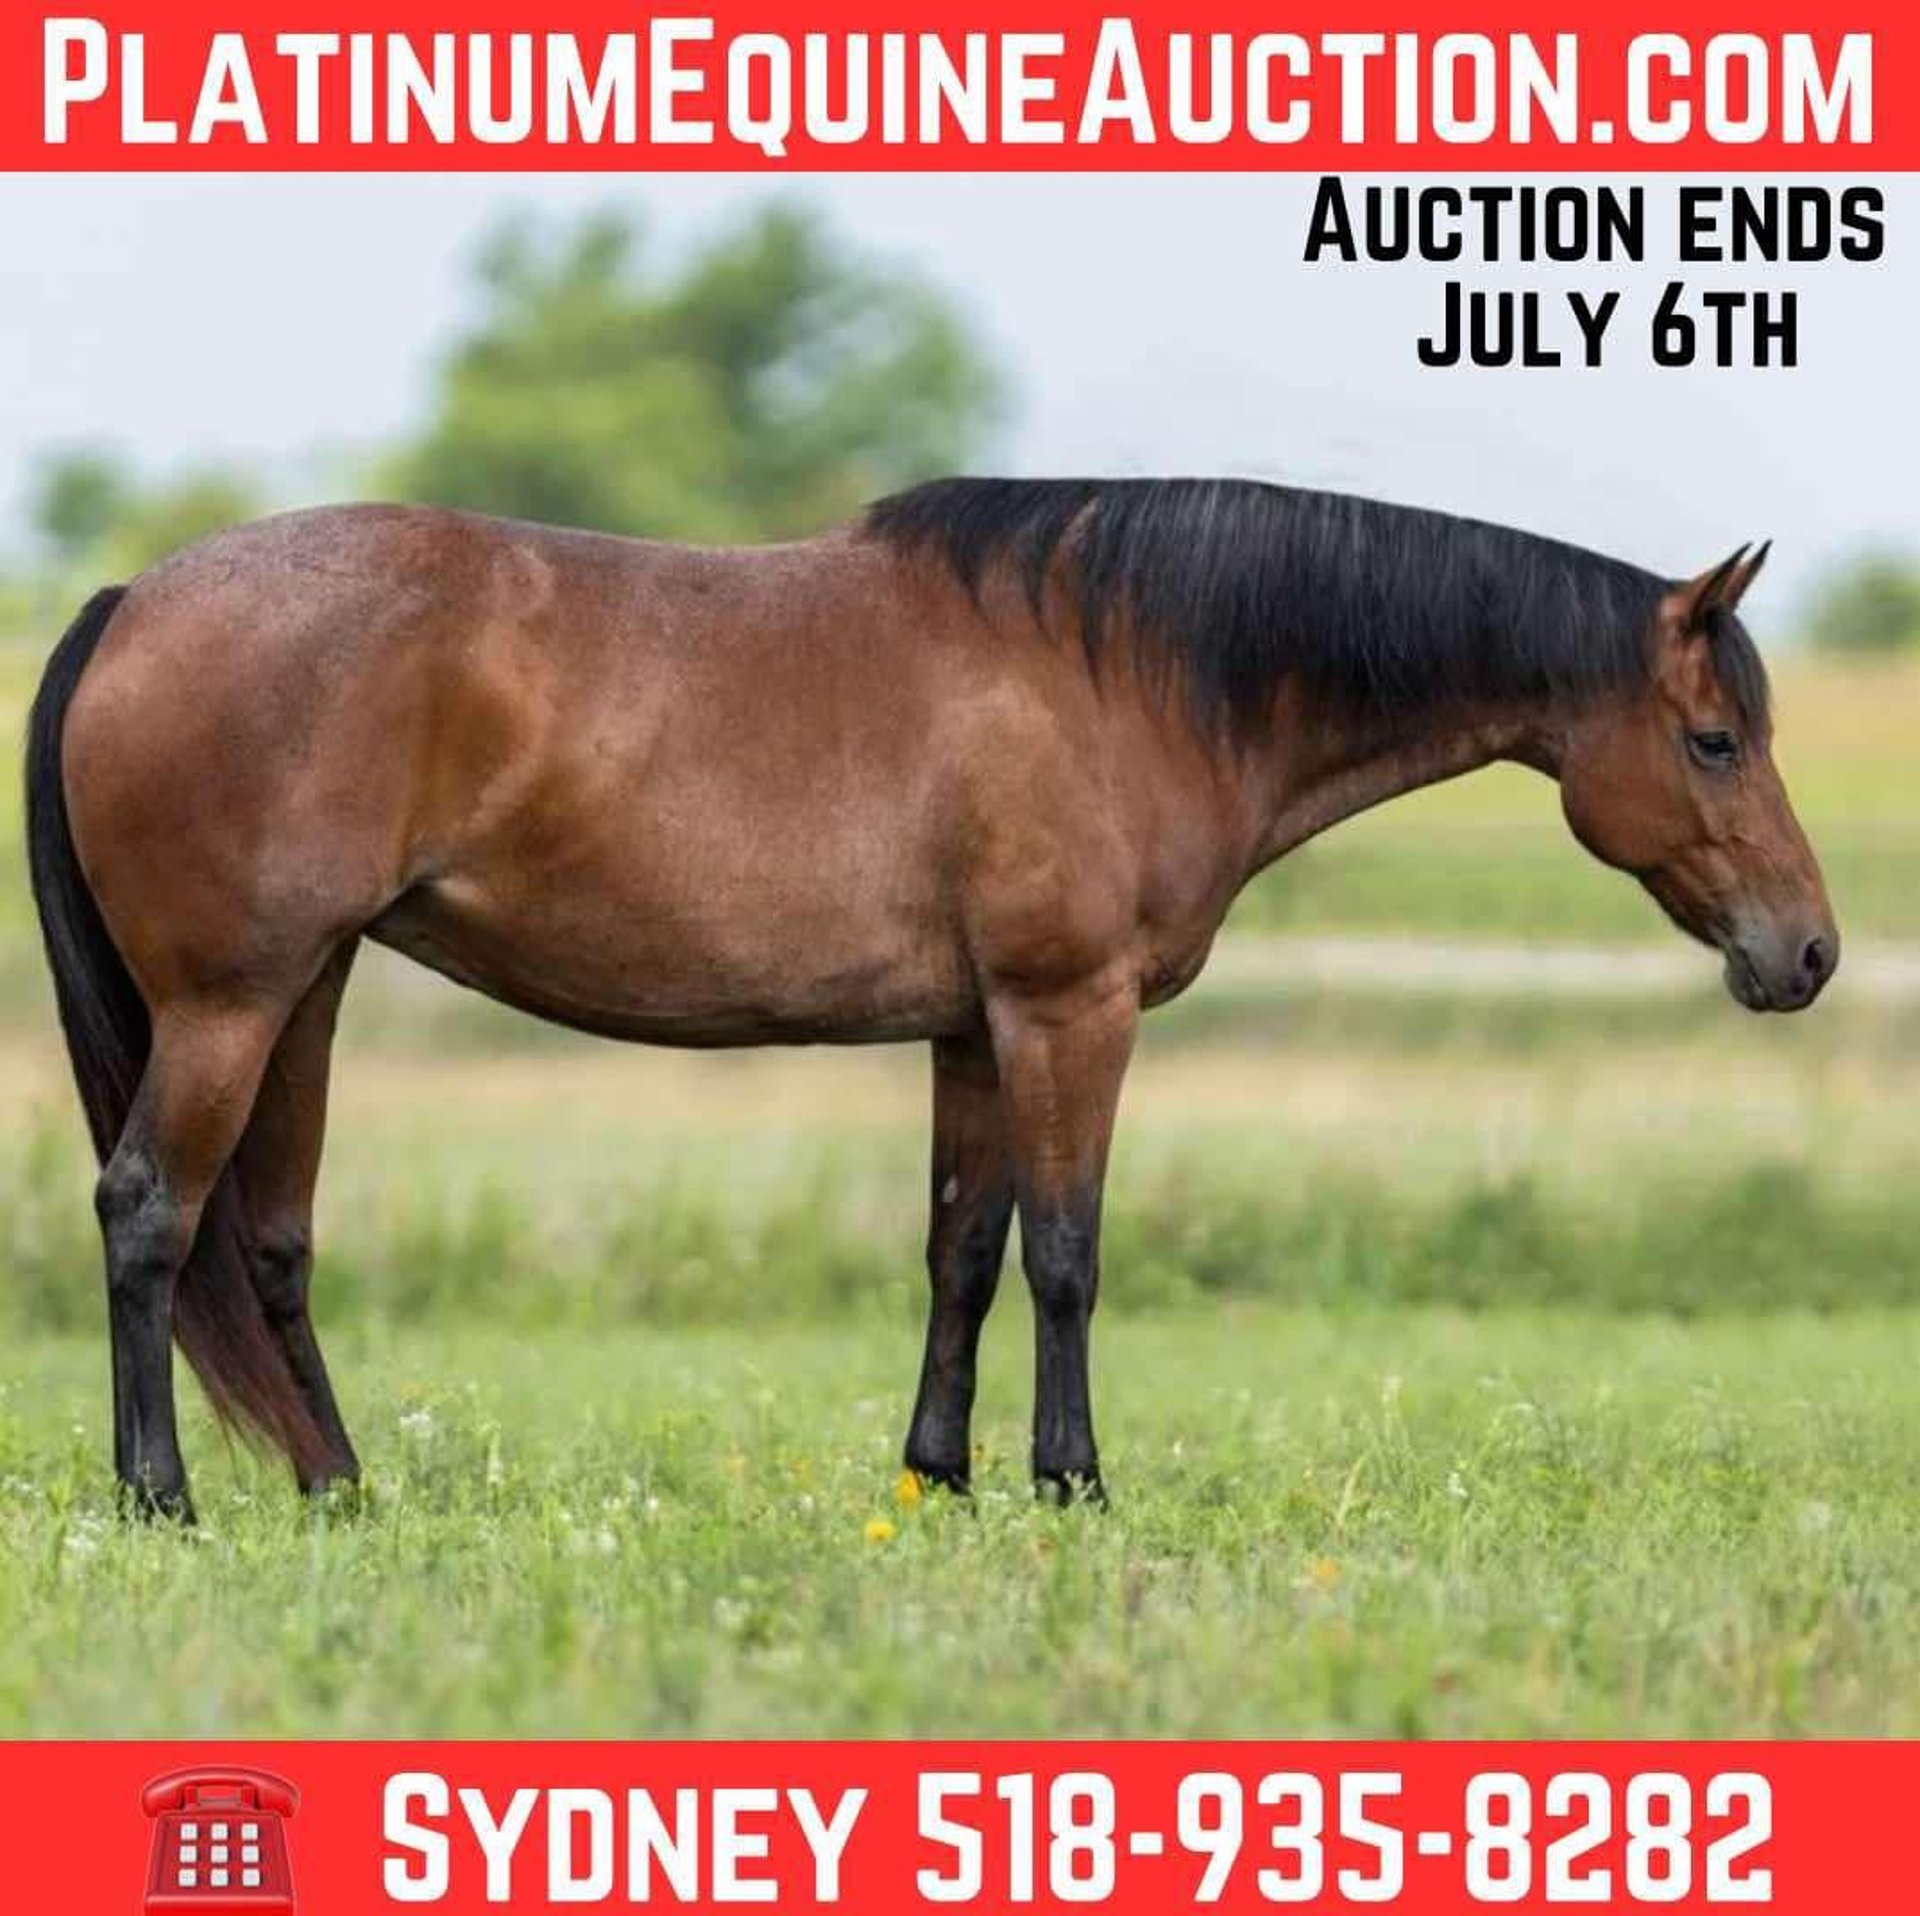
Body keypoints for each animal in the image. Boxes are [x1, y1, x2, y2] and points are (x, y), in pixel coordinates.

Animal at [25, 477, 1837, 1519]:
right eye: (1714, 738)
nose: (1807, 952)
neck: (1124, 670)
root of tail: (133, 600)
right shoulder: (1068, 1010)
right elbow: (1066, 1252)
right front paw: (1073, 1484)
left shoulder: (974, 1027)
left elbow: (963, 1250)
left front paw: (941, 1479)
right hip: (232, 1001)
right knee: (148, 1211)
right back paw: (162, 1498)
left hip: (308, 990)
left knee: (266, 1237)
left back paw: (343, 1491)